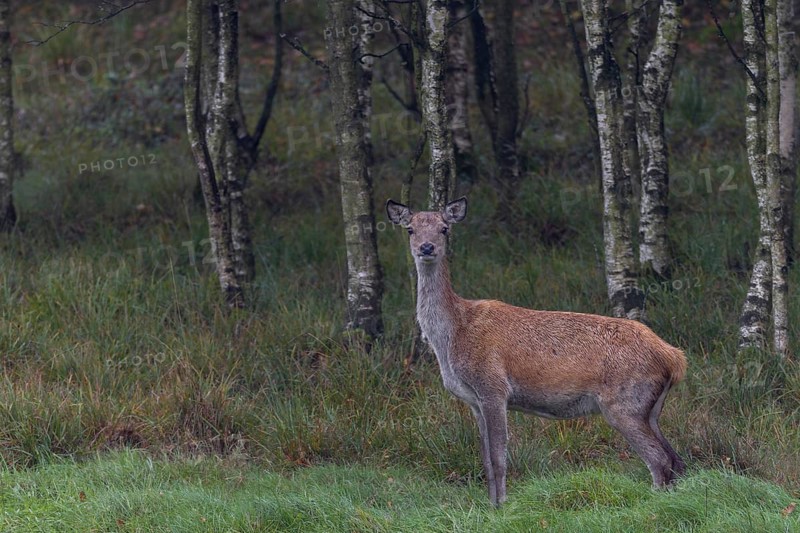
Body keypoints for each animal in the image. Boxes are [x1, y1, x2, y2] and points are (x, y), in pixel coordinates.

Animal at [386, 196, 688, 507]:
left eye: (444, 228)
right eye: (410, 229)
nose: (426, 247)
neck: (451, 338)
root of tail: (674, 358)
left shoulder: (493, 387)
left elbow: (499, 459)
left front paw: (502, 506)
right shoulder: (473, 401)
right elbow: (486, 461)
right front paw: (490, 505)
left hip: (624, 403)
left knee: (660, 461)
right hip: (650, 409)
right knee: (677, 460)